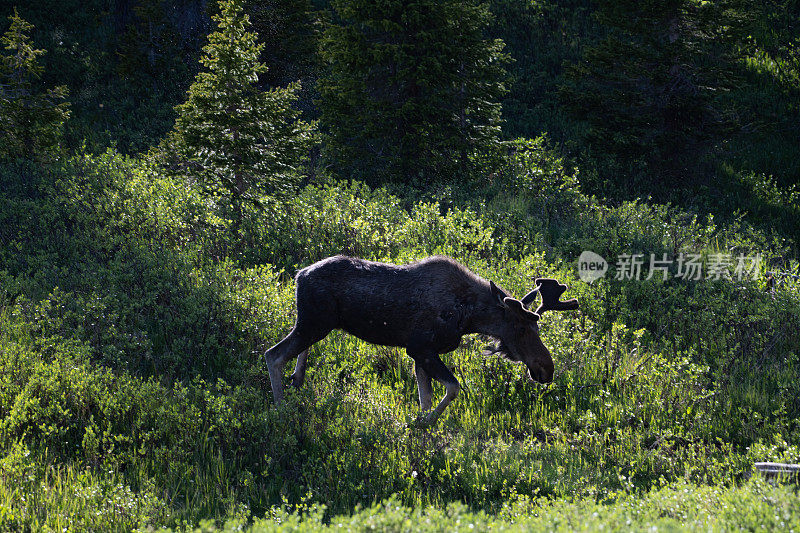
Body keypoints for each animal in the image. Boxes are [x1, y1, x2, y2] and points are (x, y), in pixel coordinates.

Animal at [266, 256, 580, 426]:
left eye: (536, 327)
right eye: (523, 328)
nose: (546, 368)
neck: (468, 316)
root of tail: (298, 275)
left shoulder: (421, 355)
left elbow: (426, 398)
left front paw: (422, 426)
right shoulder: (420, 348)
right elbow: (452, 388)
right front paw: (421, 424)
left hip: (320, 324)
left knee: (296, 350)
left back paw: (298, 379)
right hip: (314, 322)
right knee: (273, 354)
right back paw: (280, 409)